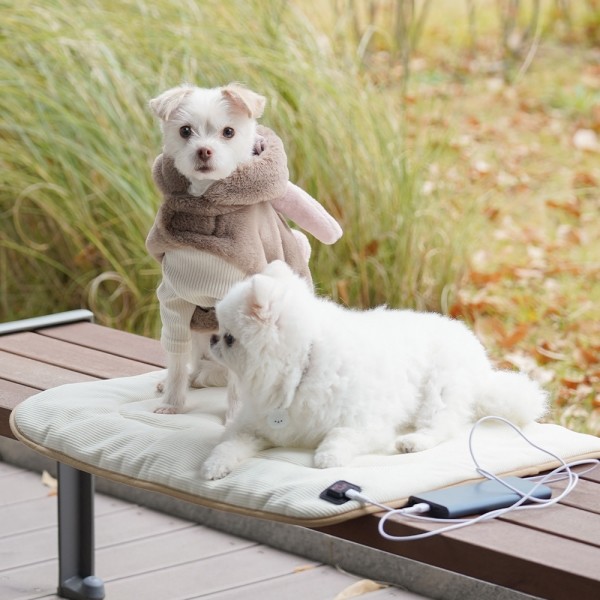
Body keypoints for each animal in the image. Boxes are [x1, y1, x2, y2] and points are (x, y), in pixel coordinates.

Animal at [199, 260, 548, 480]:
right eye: (221, 331)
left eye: (230, 338)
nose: (213, 339)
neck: (300, 371)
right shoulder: (255, 426)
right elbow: (229, 444)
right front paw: (214, 465)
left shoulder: (366, 424)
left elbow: (340, 435)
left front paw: (328, 456)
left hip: (440, 388)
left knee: (441, 425)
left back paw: (413, 442)